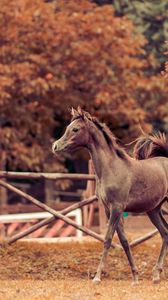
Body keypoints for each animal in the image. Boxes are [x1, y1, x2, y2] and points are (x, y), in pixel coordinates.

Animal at [51, 107, 167, 284]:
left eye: (75, 129)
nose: (55, 146)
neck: (111, 168)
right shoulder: (109, 209)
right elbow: (124, 241)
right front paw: (135, 277)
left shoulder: (117, 208)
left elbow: (107, 239)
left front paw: (97, 277)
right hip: (153, 210)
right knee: (165, 233)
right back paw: (156, 275)